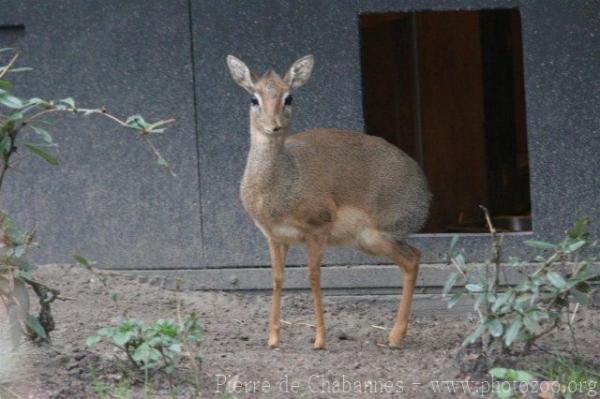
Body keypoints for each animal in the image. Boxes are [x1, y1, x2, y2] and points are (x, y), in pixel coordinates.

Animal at [226, 54, 432, 350]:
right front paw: (273, 339)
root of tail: (425, 189)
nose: (273, 125)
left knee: (413, 259)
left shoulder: (318, 230)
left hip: (377, 237)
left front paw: (320, 339)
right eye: (254, 98)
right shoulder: (275, 236)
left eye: (289, 97)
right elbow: (277, 278)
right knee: (414, 258)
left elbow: (314, 277)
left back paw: (394, 337)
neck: (281, 183)